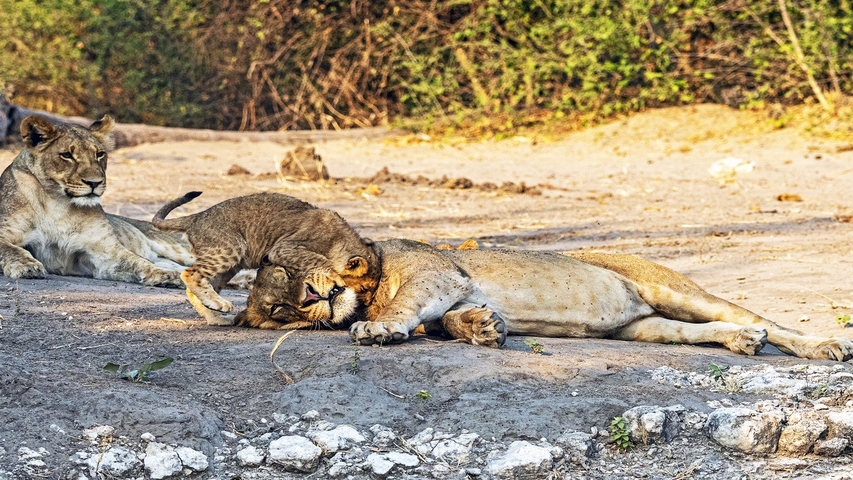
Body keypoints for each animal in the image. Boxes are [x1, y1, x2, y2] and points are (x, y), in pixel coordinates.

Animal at [0, 115, 193, 286]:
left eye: (99, 154)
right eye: (67, 155)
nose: (94, 183)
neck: (58, 203)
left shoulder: (105, 250)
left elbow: (138, 261)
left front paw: (165, 275)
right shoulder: (5, 233)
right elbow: (11, 249)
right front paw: (26, 265)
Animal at [151, 191, 378, 326]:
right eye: (364, 288)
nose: (368, 303)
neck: (341, 241)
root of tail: (197, 217)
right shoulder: (283, 249)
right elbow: (321, 262)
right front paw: (336, 277)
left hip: (229, 265)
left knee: (194, 289)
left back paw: (217, 315)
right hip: (228, 248)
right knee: (189, 273)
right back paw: (219, 307)